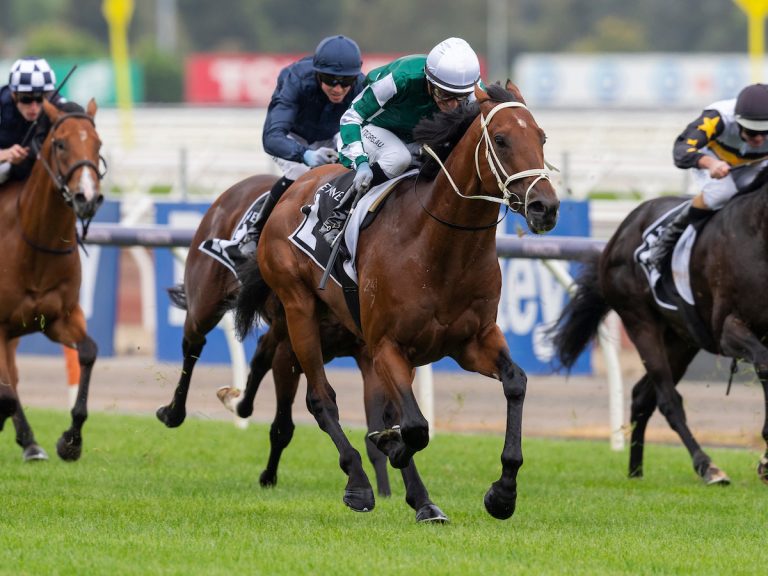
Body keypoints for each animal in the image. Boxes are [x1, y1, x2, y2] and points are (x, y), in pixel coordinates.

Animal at [0, 97, 103, 462]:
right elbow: (7, 393)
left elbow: (88, 352)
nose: (88, 196)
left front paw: (71, 440)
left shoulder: (59, 318)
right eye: (60, 143)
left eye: (98, 144)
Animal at [157, 173, 448, 520]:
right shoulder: (294, 348)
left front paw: (401, 489)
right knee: (193, 342)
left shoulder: (370, 353)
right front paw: (269, 476)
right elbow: (284, 425)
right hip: (207, 300)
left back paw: (240, 404)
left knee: (258, 355)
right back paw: (173, 411)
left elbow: (383, 424)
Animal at [234, 83, 560, 520]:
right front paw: (390, 448)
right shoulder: (387, 346)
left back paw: (420, 498)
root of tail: (291, 192)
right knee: (321, 399)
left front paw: (502, 493)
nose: (546, 207)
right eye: (502, 139)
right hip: (298, 309)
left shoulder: (473, 342)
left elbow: (515, 383)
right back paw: (360, 484)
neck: (438, 248)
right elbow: (415, 428)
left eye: (541, 137)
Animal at [552, 192, 768, 486]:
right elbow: (764, 362)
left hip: (681, 340)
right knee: (667, 400)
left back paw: (635, 471)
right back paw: (707, 466)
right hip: (640, 322)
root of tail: (620, 232)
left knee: (643, 396)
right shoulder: (728, 327)